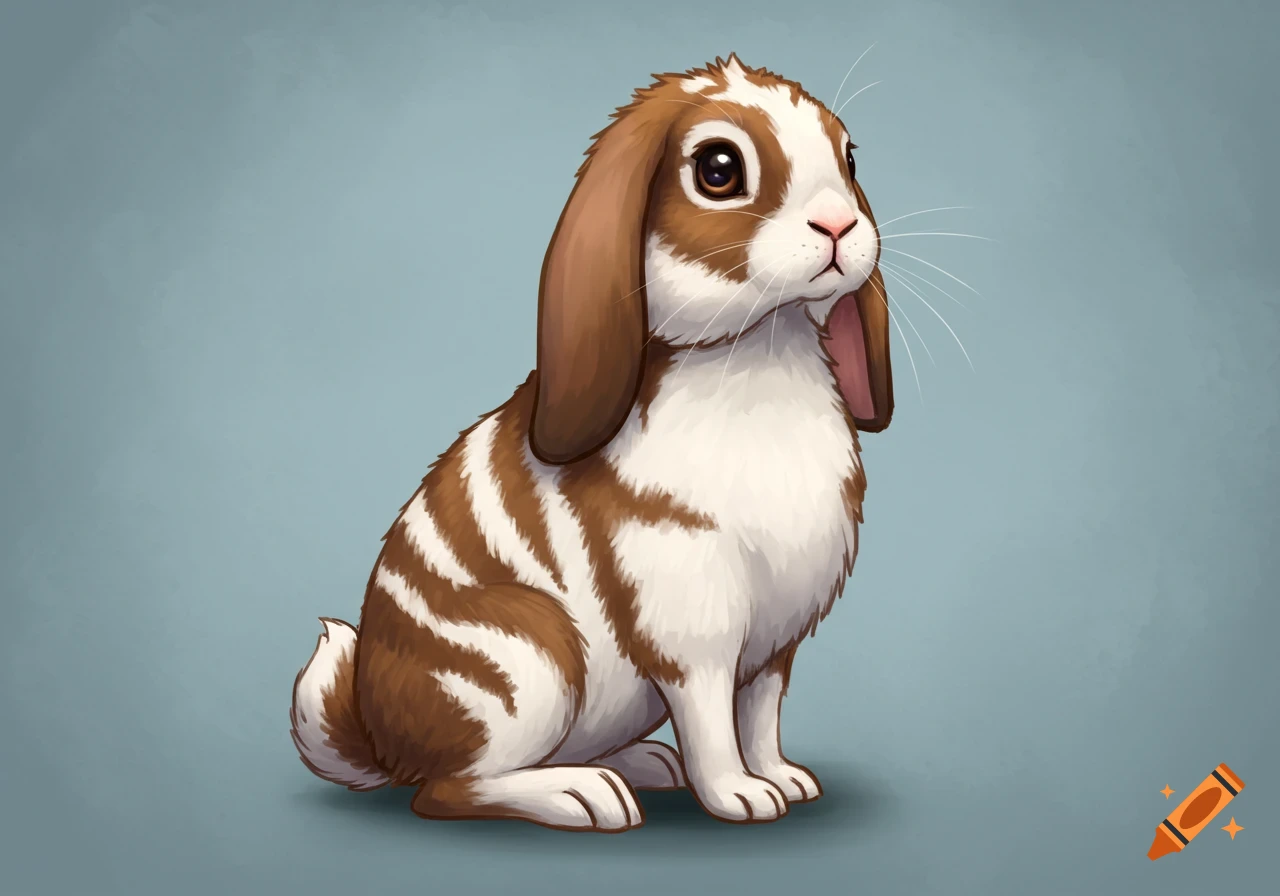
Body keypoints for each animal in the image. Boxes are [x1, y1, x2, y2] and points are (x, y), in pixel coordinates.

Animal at [290, 53, 894, 832]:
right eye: (719, 168)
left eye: (849, 158)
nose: (840, 224)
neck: (761, 351)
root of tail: (380, 736)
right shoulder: (694, 632)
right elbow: (711, 724)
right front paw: (741, 797)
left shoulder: (774, 643)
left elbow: (760, 718)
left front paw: (785, 780)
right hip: (530, 660)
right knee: (448, 790)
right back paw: (585, 796)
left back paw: (643, 766)